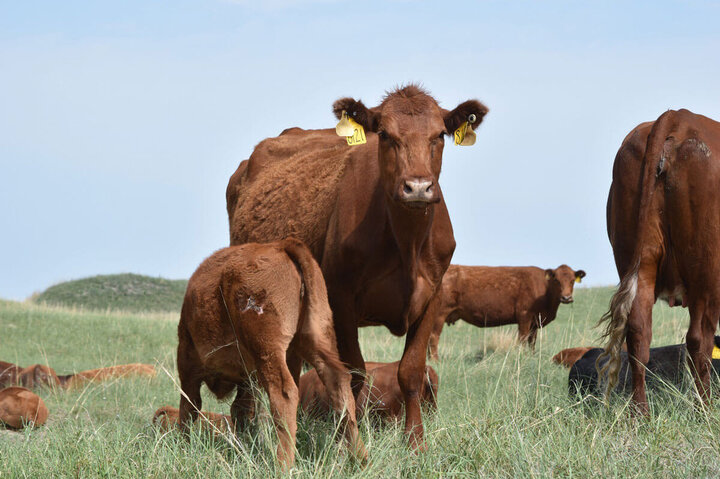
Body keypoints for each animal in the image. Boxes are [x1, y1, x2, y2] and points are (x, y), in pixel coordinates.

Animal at [175, 238, 366, 470]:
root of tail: (282, 246)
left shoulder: (188, 363)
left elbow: (189, 407)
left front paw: (183, 446)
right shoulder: (248, 379)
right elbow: (240, 410)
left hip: (268, 351)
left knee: (284, 394)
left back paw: (283, 464)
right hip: (318, 340)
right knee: (339, 382)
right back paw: (361, 459)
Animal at [428, 264, 584, 358]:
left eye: (572, 280)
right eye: (557, 280)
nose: (566, 298)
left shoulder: (535, 322)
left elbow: (532, 341)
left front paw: (532, 357)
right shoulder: (524, 316)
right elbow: (522, 339)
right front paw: (522, 357)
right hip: (439, 315)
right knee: (433, 338)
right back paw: (436, 361)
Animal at [600, 110, 720, 414]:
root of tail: (678, 117)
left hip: (638, 259)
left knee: (638, 336)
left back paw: (640, 413)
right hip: (706, 272)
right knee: (699, 341)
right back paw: (706, 410)